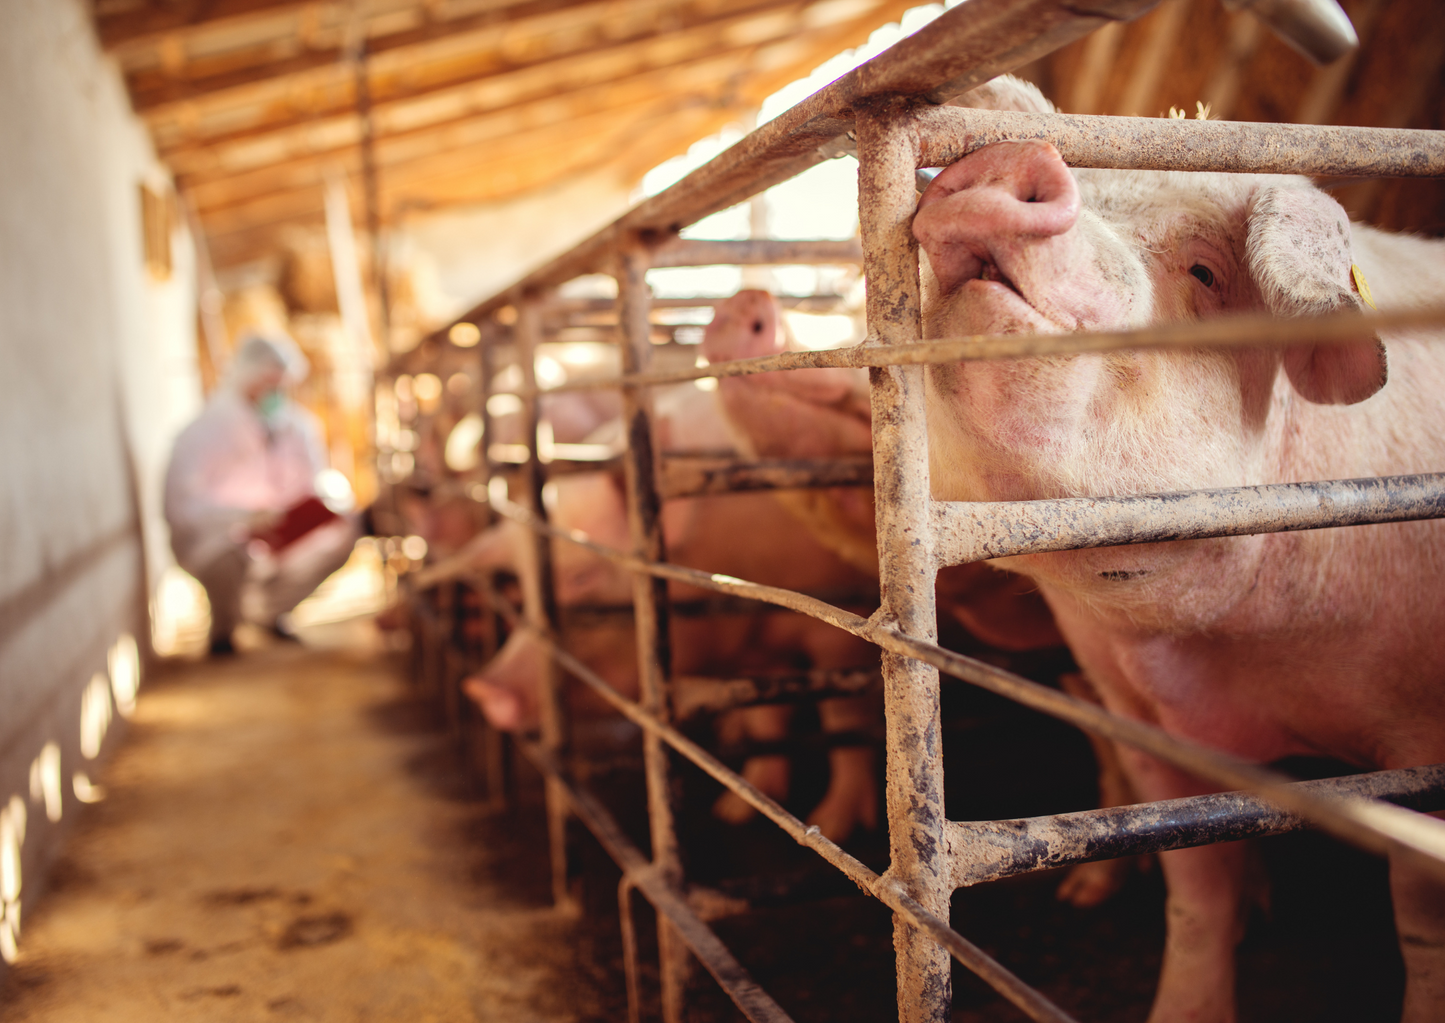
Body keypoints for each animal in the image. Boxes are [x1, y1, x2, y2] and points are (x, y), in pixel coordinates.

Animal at [914, 74, 1445, 1022]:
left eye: (1203, 271)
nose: (1014, 156)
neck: (1226, 652)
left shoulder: (1419, 738)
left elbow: (1418, 920)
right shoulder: (1139, 716)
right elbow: (1195, 884)